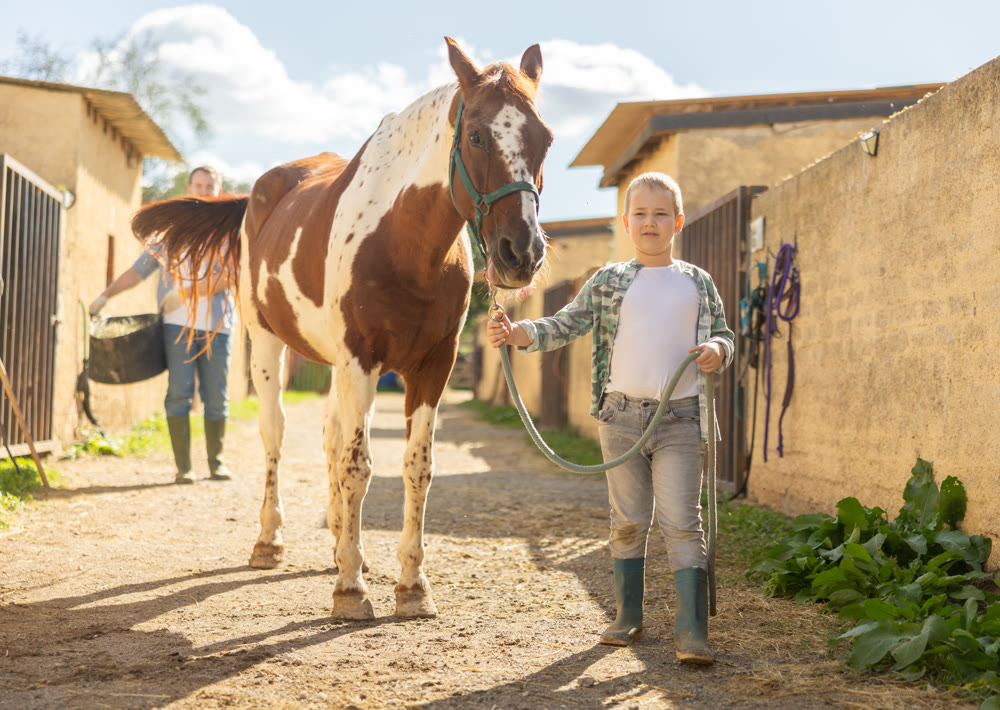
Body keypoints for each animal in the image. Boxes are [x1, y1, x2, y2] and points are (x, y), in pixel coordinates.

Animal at [131, 37, 552, 620]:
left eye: (546, 139)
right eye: (475, 135)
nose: (522, 253)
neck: (404, 241)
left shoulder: (432, 365)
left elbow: (415, 466)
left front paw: (411, 585)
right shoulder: (359, 359)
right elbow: (358, 466)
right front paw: (350, 591)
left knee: (332, 437)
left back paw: (338, 544)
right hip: (268, 345)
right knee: (277, 433)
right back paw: (270, 541)